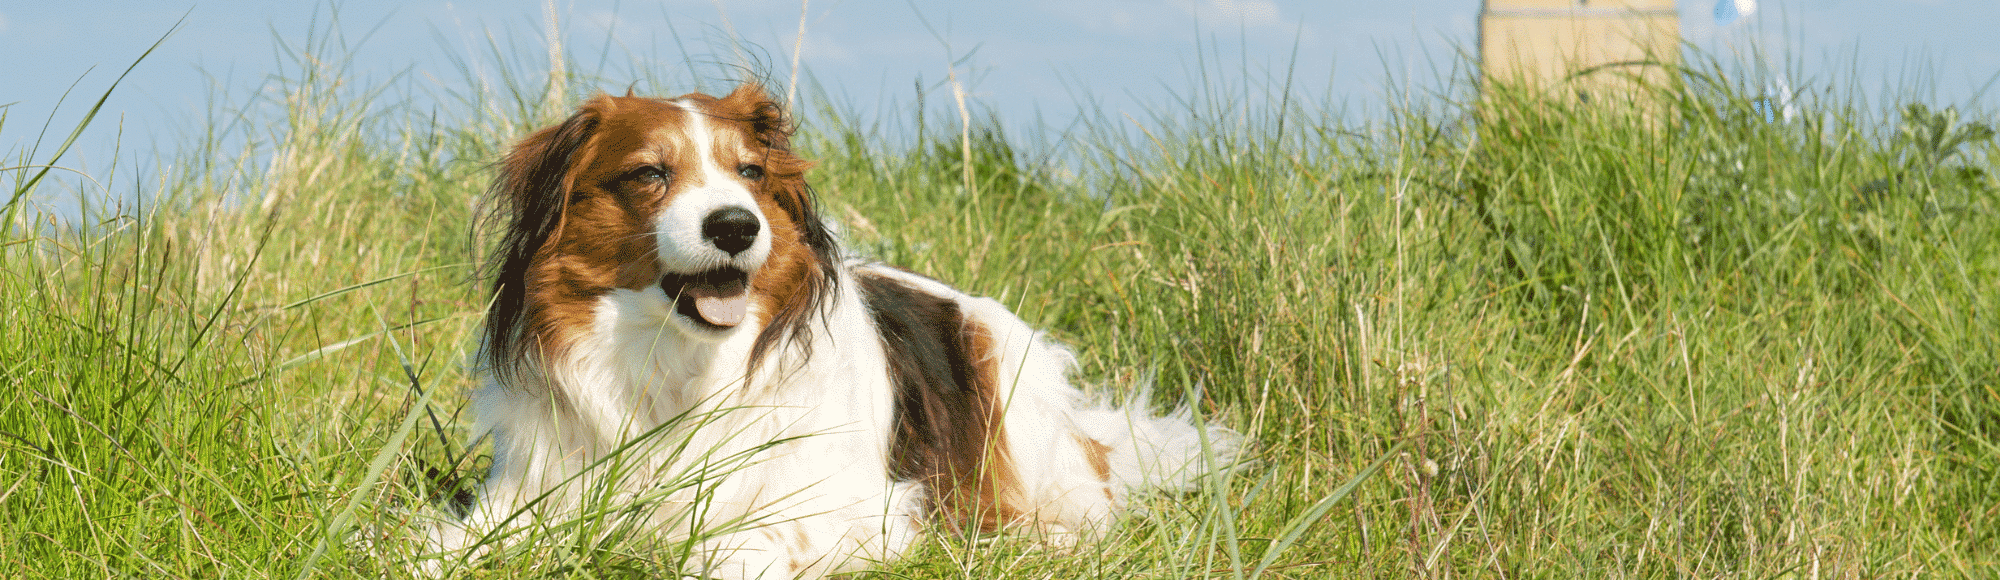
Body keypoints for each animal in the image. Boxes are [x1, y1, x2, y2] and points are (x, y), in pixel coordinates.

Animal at [432, 84, 1240, 576]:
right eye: (649, 174)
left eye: (751, 173)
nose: (736, 226)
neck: (678, 365)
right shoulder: (525, 493)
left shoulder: (863, 514)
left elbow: (720, 547)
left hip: (1015, 395)